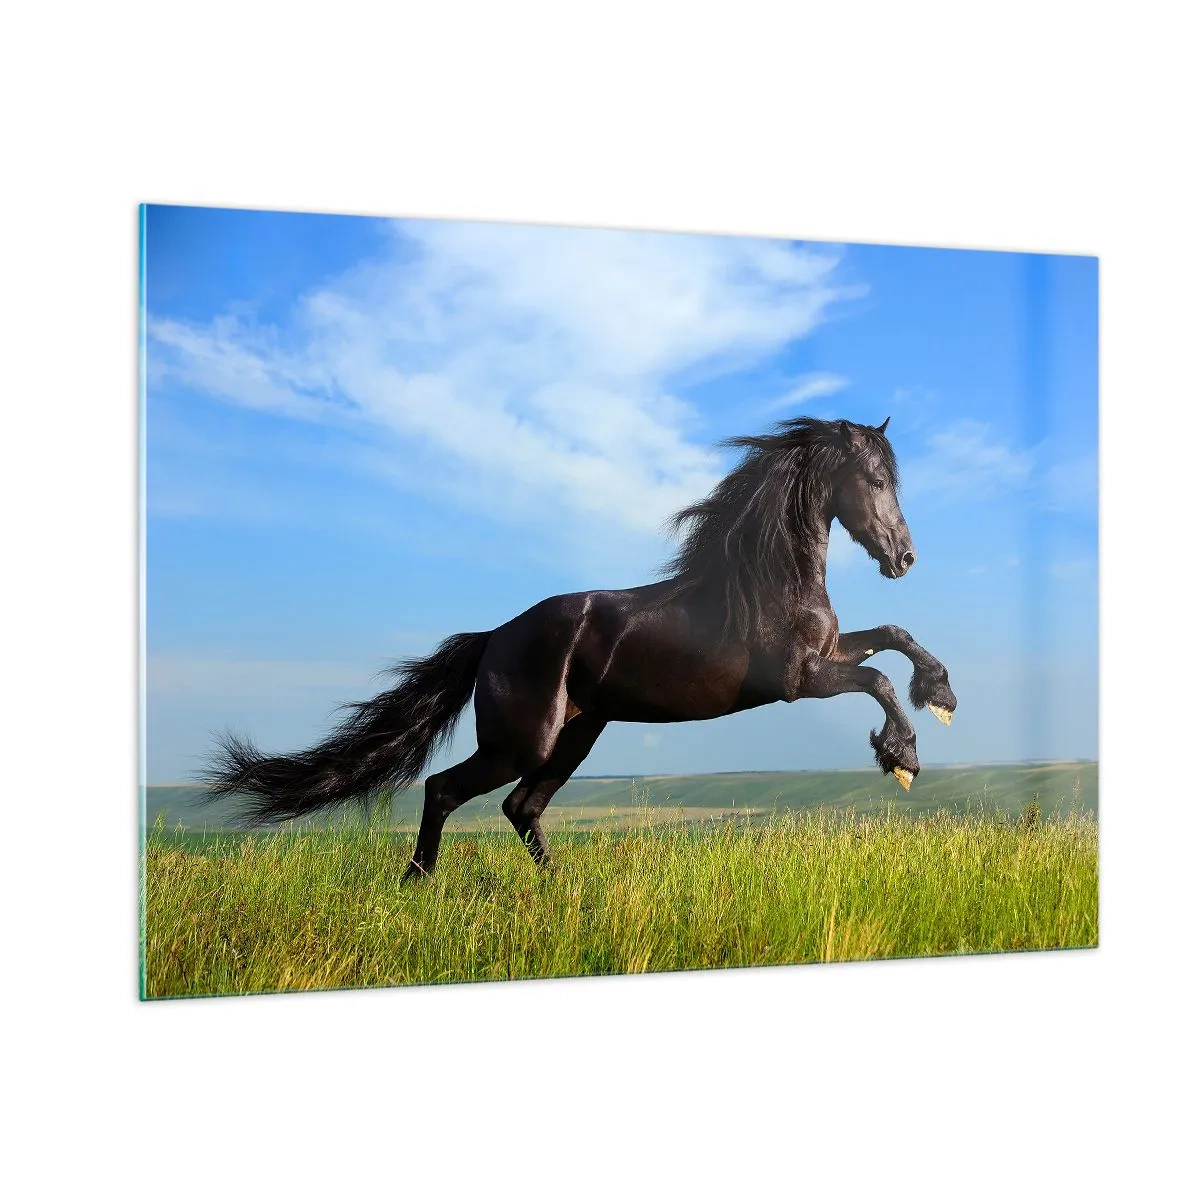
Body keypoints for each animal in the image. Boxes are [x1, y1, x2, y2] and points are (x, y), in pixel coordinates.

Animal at [203, 415, 957, 879]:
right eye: (876, 481)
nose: (905, 558)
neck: (769, 577)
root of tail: (492, 640)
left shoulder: (831, 652)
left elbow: (893, 638)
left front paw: (940, 694)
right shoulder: (798, 680)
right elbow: (878, 681)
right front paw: (903, 757)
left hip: (577, 734)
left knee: (522, 808)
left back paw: (562, 888)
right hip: (523, 741)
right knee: (447, 790)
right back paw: (417, 883)